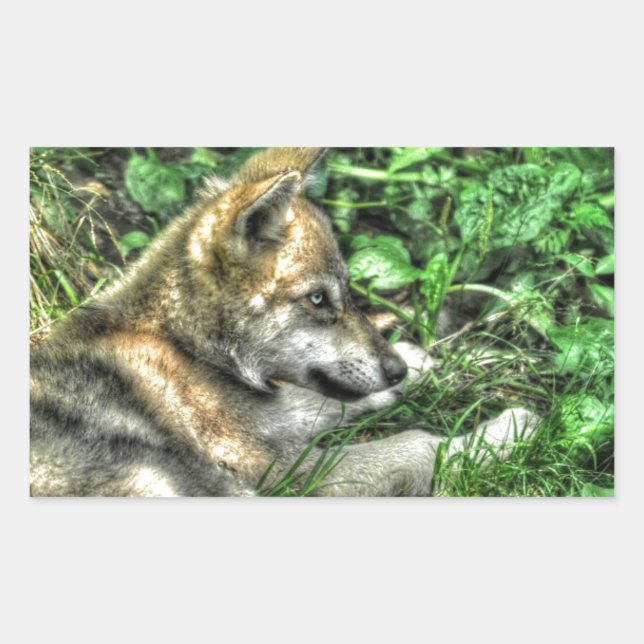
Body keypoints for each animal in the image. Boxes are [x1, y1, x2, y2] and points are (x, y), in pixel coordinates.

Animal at [30, 147, 537, 496]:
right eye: (317, 298)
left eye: (348, 290)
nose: (395, 369)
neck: (190, 350)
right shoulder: (286, 473)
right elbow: (418, 444)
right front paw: (505, 431)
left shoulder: (276, 419)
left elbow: (317, 400)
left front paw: (421, 365)